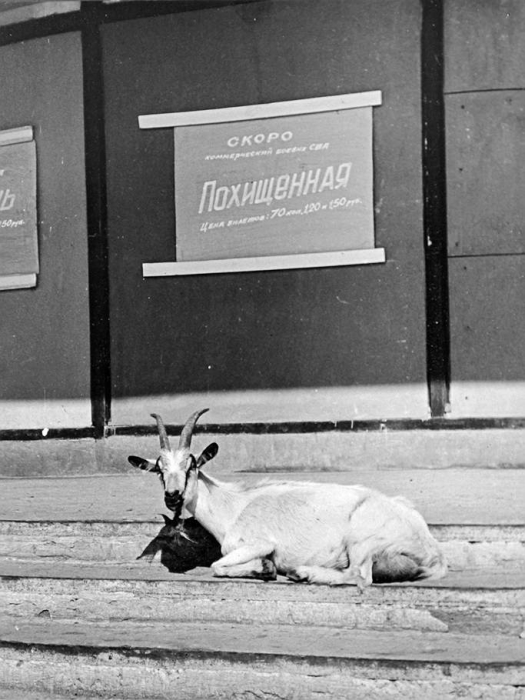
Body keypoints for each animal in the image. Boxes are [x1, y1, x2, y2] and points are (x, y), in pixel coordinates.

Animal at [128, 409, 447, 589]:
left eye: (192, 465)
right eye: (159, 470)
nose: (172, 496)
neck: (233, 506)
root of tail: (433, 551)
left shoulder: (259, 542)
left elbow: (218, 566)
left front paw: (265, 568)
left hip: (362, 536)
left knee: (359, 576)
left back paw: (303, 573)